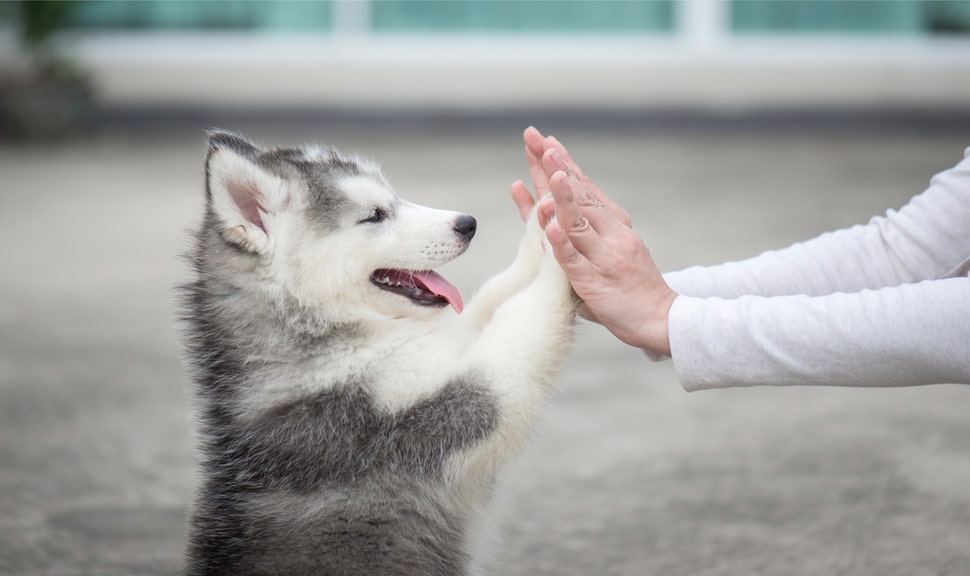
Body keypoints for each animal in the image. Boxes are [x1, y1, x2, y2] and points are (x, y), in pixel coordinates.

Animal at [180, 132, 576, 576]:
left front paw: (543, 224)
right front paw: (564, 246)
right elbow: (522, 321)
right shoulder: (425, 412)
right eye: (374, 215)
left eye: (394, 197)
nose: (468, 224)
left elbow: (492, 296)